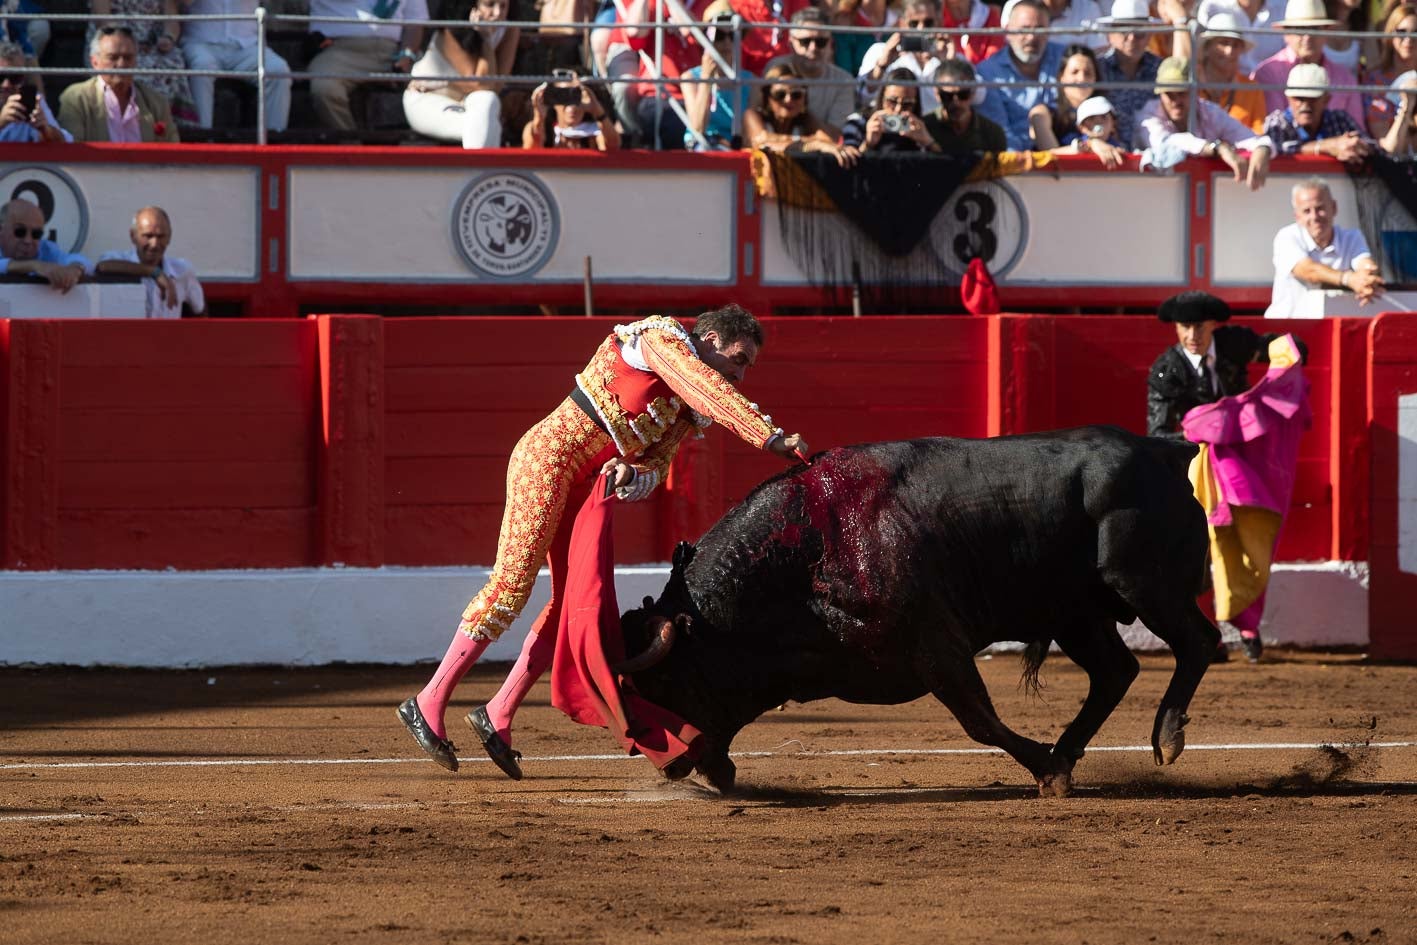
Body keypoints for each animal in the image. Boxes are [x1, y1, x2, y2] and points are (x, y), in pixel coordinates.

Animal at [620, 427, 1218, 799]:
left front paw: (1048, 772)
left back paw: (1165, 737)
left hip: (1143, 584)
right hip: (1078, 615)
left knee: (1199, 641)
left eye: (666, 684)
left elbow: (979, 719)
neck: (809, 554)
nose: (669, 765)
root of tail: (1163, 450)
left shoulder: (936, 647)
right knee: (1116, 671)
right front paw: (1054, 765)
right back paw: (1073, 748)